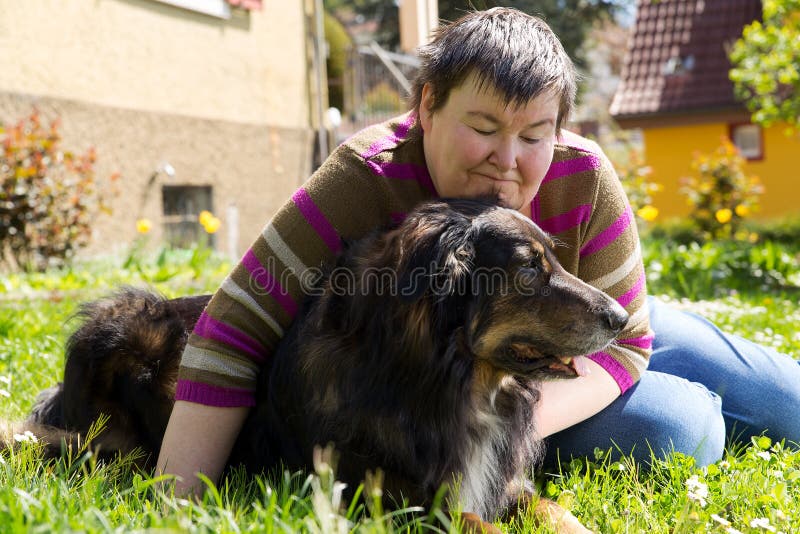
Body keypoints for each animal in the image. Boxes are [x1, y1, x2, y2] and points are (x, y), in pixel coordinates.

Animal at [6, 199, 632, 532]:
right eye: (529, 269)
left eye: (556, 260)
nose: (623, 317)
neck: (439, 378)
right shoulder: (384, 495)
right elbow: (477, 523)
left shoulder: (498, 477)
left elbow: (554, 509)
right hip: (128, 322)